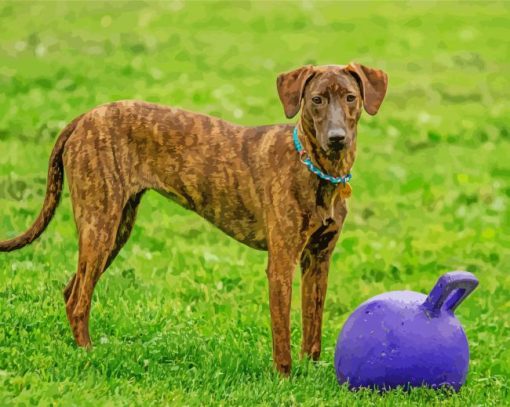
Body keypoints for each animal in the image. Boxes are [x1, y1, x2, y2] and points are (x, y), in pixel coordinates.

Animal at [0, 62, 386, 374]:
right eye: (316, 100)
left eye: (350, 98)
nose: (337, 138)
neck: (318, 169)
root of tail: (83, 118)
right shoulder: (281, 262)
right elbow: (281, 333)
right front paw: (285, 379)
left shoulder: (318, 260)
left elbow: (312, 326)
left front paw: (312, 371)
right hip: (101, 225)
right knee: (79, 300)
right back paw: (88, 355)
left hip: (116, 229)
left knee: (71, 290)